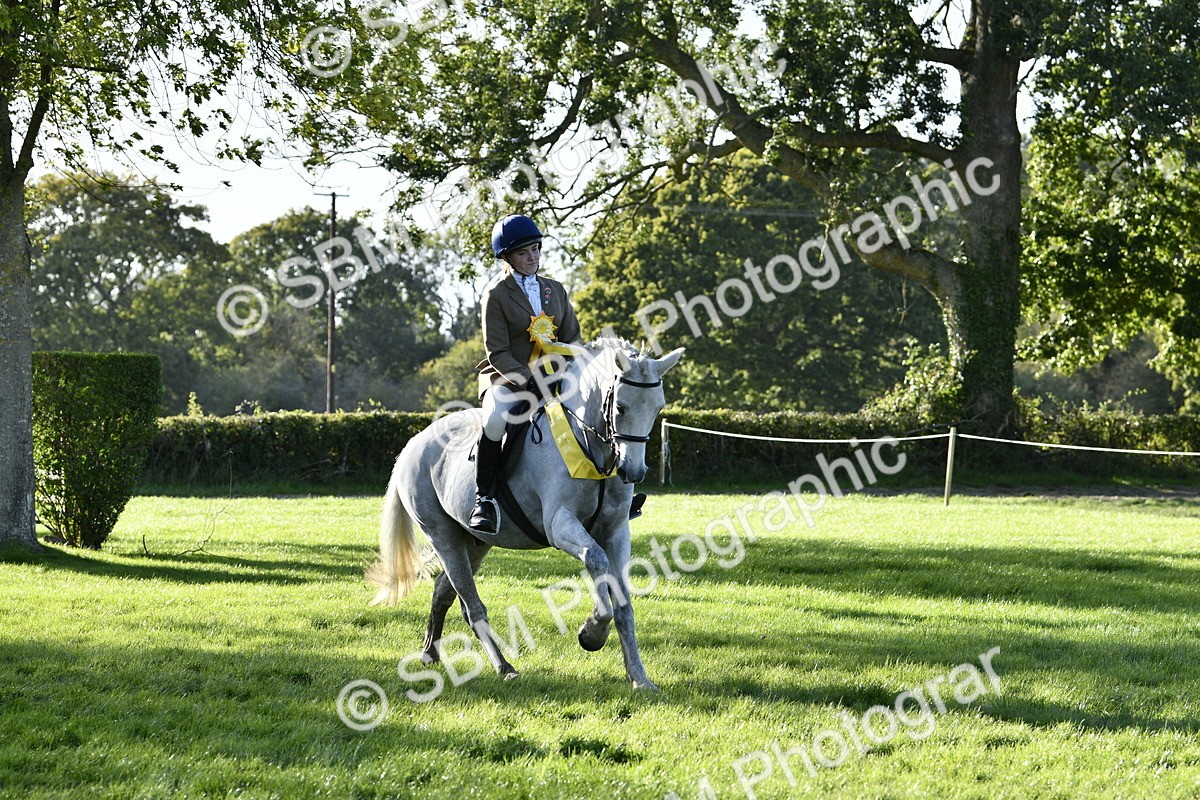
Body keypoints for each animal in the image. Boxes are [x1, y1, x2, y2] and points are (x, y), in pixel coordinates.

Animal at [366, 337, 684, 690]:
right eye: (621, 408)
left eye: (657, 408)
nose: (634, 471)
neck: (591, 449)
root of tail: (415, 442)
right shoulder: (560, 526)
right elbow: (596, 561)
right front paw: (592, 634)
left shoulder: (616, 531)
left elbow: (623, 604)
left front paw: (638, 677)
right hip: (443, 536)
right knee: (472, 605)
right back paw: (504, 666)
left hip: (475, 542)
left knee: (444, 593)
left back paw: (430, 654)